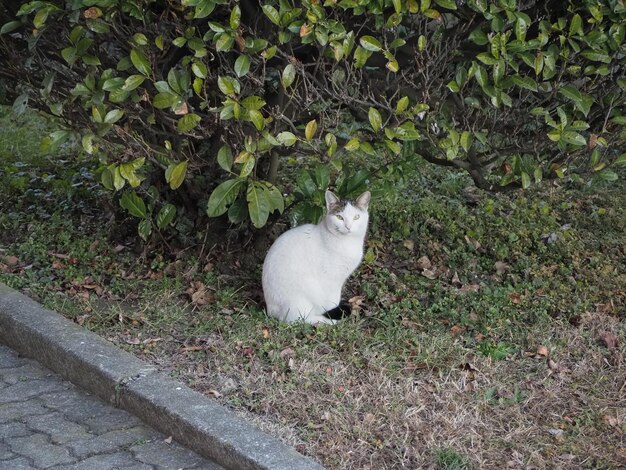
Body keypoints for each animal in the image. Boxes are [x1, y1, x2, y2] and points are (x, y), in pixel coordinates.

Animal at [260, 190, 368, 324]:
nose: (348, 227)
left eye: (356, 217)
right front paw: (333, 311)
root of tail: (270, 310)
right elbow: (332, 301)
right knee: (299, 319)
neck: (347, 243)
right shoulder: (331, 280)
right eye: (340, 217)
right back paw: (327, 320)